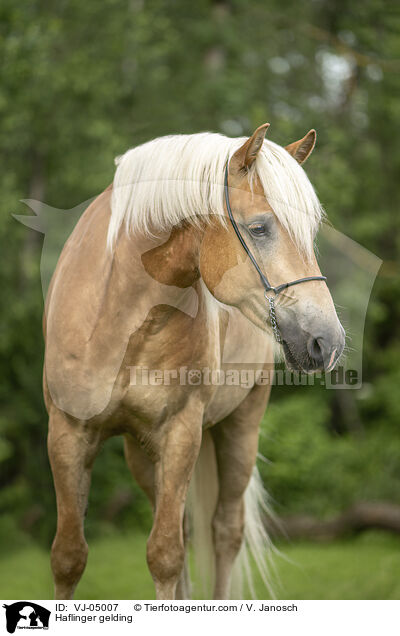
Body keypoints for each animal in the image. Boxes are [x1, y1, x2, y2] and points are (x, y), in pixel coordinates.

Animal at [43, 124, 344, 600]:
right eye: (259, 228)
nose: (327, 341)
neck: (121, 316)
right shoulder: (67, 433)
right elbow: (69, 556)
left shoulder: (181, 433)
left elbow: (164, 555)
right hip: (141, 452)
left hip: (241, 429)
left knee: (225, 532)